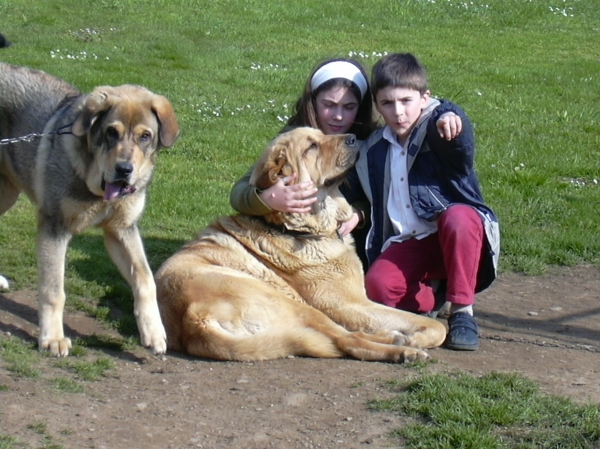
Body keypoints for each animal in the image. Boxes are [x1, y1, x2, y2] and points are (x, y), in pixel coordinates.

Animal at [0, 64, 179, 356]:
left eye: (145, 136)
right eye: (111, 132)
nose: (124, 170)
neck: (95, 187)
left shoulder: (121, 230)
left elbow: (145, 279)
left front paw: (153, 332)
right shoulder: (55, 227)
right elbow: (54, 290)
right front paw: (52, 338)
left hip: (6, 193)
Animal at [155, 126, 446, 360]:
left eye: (321, 135)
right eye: (311, 147)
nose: (353, 138)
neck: (297, 228)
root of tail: (193, 321)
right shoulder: (349, 304)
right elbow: (436, 327)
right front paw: (419, 337)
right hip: (292, 302)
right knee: (346, 340)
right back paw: (403, 349)